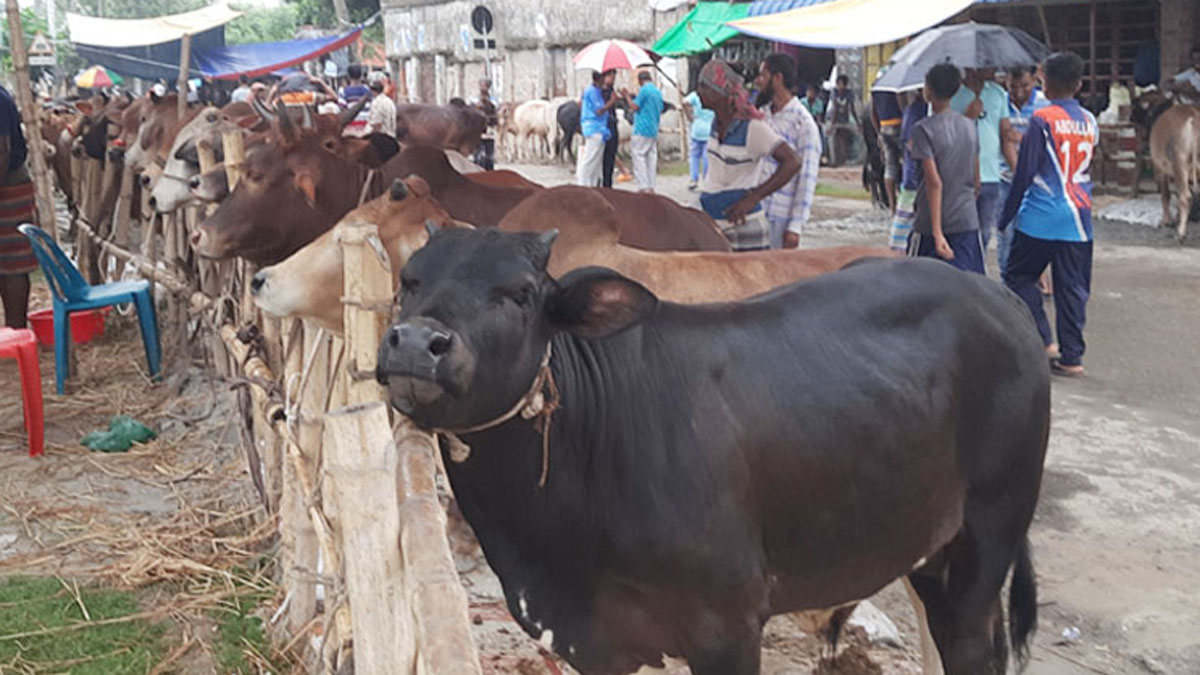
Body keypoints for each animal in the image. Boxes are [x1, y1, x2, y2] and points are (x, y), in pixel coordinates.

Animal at [374, 228, 1051, 667]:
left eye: (519, 293)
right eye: (410, 281)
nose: (417, 343)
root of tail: (995, 294)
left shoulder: (726, 626)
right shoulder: (597, 644)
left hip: (984, 547)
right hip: (921, 550)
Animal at [1142, 103, 1200, 240]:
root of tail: (1194, 115)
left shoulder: (1159, 169)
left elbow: (1165, 195)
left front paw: (1167, 221)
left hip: (1180, 165)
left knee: (1185, 197)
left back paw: (1181, 233)